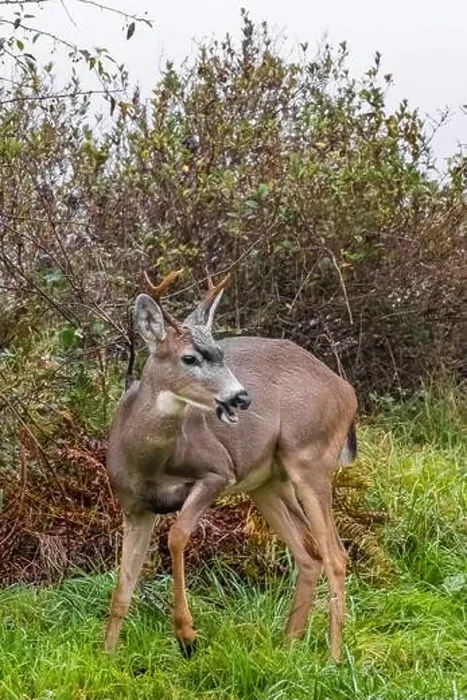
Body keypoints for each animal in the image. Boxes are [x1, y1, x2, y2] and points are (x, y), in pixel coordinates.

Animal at [104, 269, 358, 662]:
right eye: (189, 358)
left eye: (221, 353)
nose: (241, 397)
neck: (146, 460)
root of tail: (348, 391)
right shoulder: (133, 506)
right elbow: (123, 587)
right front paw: (107, 656)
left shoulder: (217, 471)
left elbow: (176, 536)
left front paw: (187, 635)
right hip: (266, 482)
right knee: (308, 552)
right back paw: (288, 645)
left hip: (310, 457)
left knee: (336, 555)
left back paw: (332, 658)